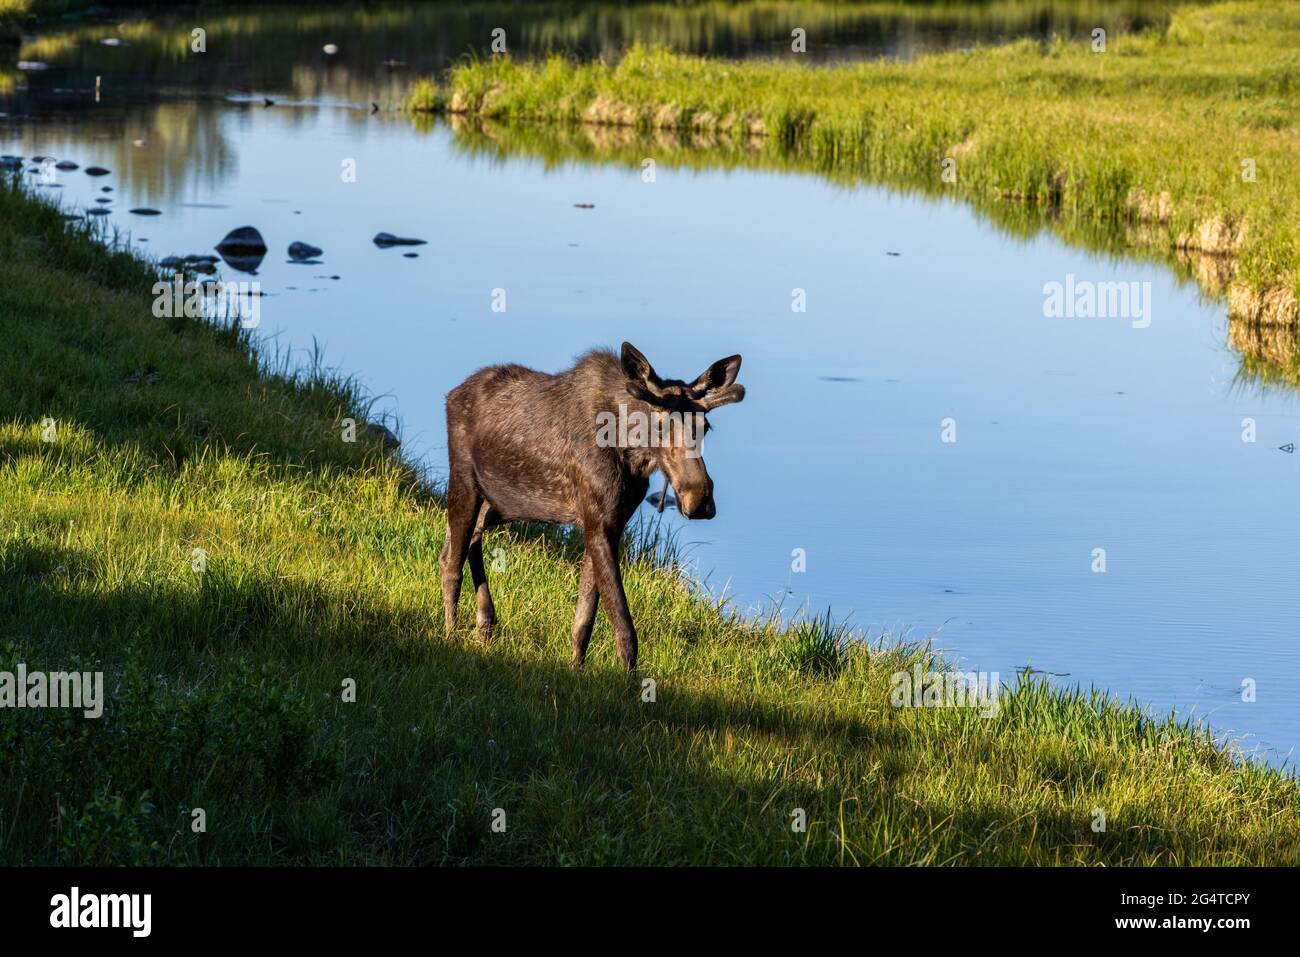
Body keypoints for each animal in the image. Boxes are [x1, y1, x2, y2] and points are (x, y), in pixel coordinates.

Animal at [439, 342, 745, 672]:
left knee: (460, 544)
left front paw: (577, 668)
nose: (699, 499)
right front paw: (627, 680)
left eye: (706, 426)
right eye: (660, 423)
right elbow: (624, 627)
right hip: (464, 480)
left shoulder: (608, 524)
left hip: (502, 504)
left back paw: (485, 622)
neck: (631, 452)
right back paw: (451, 633)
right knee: (453, 563)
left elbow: (584, 618)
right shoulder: (598, 523)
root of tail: (451, 395)